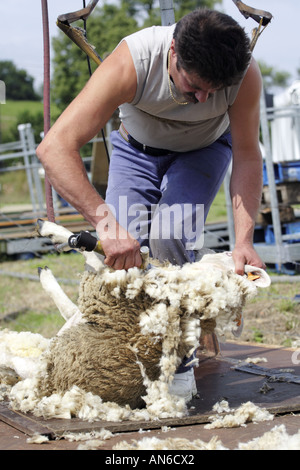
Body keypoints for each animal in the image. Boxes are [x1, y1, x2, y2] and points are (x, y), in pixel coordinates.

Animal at [0, 220, 270, 422]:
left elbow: (94, 255)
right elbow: (73, 297)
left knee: (19, 363)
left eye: (228, 253)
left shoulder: (109, 284)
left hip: (48, 366)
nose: (205, 248)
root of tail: (53, 386)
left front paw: (53, 230)